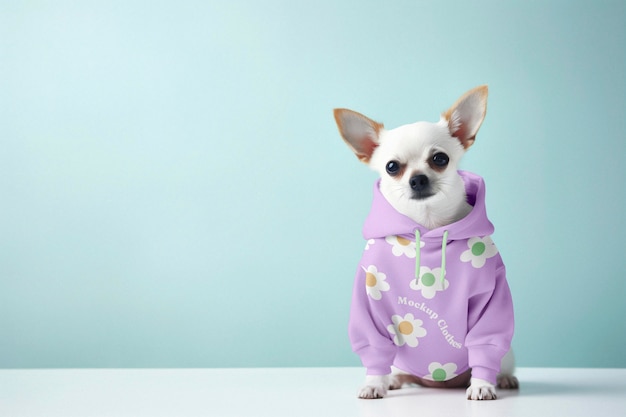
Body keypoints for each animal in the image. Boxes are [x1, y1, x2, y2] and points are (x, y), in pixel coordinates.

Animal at [334, 85, 516, 400]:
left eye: (440, 159)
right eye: (392, 167)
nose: (417, 179)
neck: (427, 228)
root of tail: (438, 383)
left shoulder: (491, 296)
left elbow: (486, 343)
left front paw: (483, 385)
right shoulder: (370, 300)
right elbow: (374, 350)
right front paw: (374, 382)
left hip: (507, 351)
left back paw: (501, 378)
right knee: (399, 369)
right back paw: (393, 380)